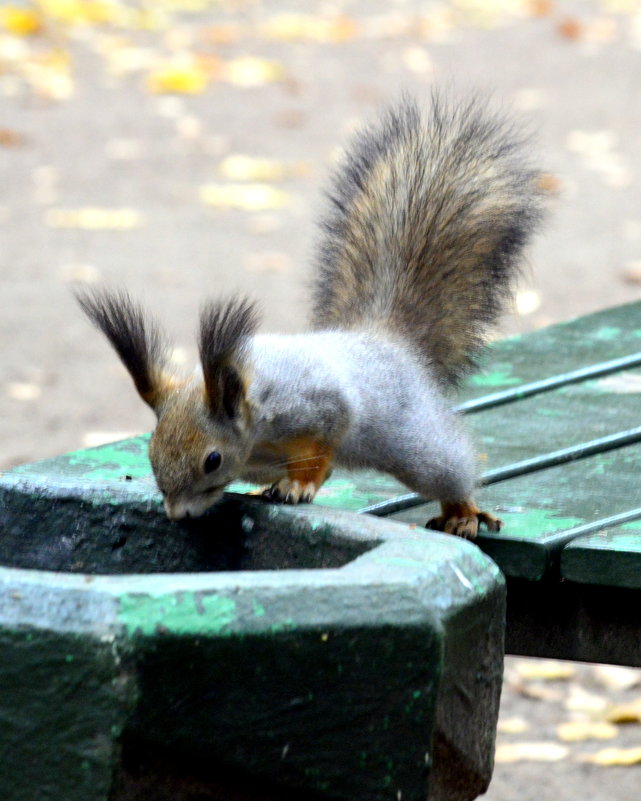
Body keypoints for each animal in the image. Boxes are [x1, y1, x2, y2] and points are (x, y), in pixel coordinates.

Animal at [77, 95, 544, 544]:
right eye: (151, 451)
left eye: (213, 460)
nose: (178, 515)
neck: (255, 430)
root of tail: (387, 342)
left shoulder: (319, 409)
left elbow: (321, 451)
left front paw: (299, 485)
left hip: (414, 442)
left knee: (447, 468)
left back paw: (463, 511)